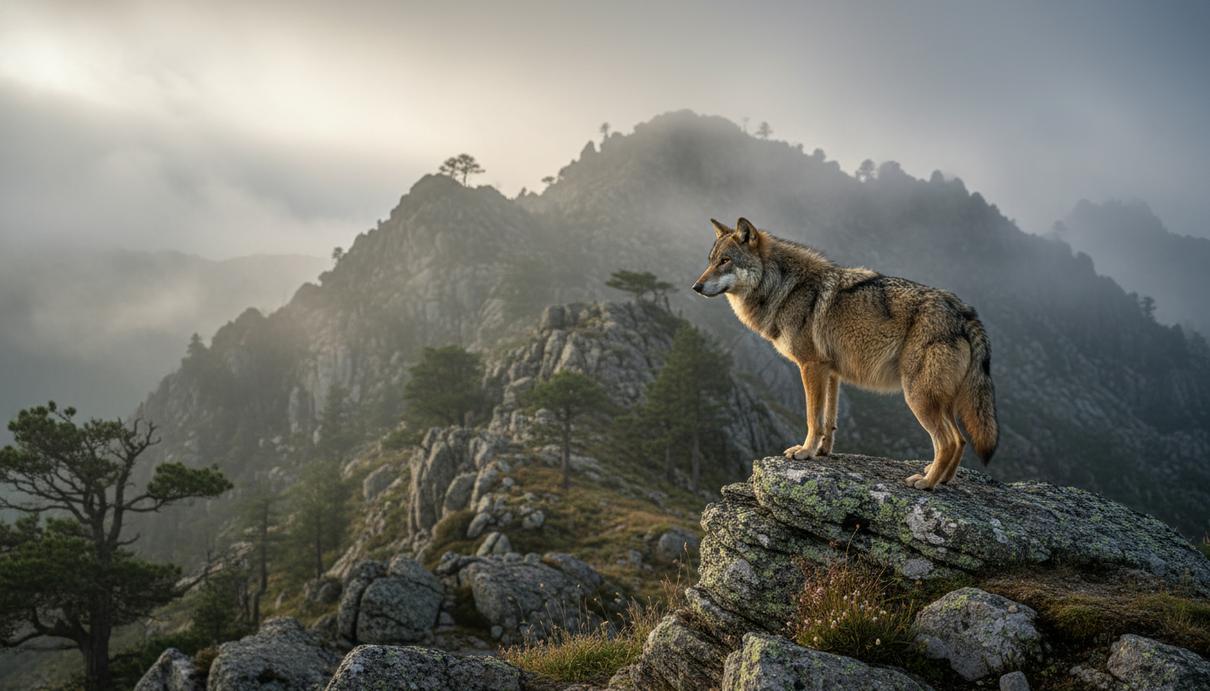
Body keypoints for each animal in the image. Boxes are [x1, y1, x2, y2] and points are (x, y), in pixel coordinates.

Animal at [692, 217, 998, 489]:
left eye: (725, 261)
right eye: (710, 260)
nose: (696, 287)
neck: (784, 288)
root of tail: (963, 311)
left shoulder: (811, 366)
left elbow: (813, 418)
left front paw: (805, 452)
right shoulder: (831, 372)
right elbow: (829, 420)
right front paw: (822, 452)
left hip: (918, 398)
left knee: (948, 442)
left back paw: (926, 483)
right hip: (939, 401)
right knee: (960, 440)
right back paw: (943, 479)